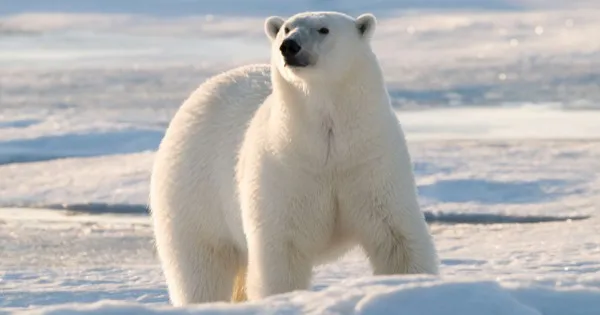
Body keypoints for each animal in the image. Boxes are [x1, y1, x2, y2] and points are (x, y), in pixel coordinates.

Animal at [149, 11, 440, 308]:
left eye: (323, 29)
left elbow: (395, 237)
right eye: (286, 28)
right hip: (194, 193)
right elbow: (282, 251)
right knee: (201, 267)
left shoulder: (371, 161)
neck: (327, 146)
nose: (289, 46)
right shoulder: (284, 169)